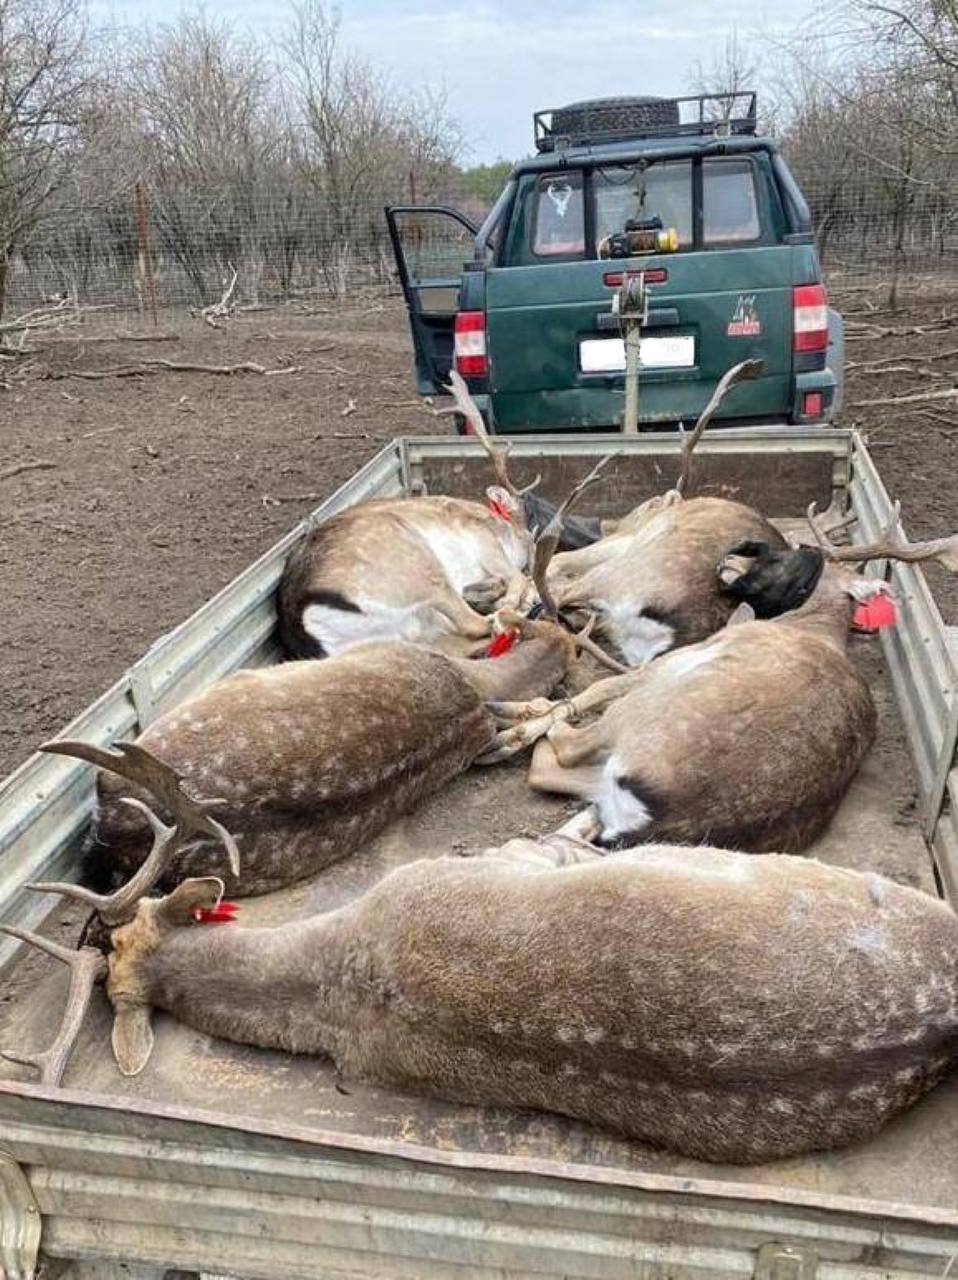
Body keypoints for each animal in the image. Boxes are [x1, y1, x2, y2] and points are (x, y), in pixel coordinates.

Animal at [486, 504, 957, 855]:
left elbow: (595, 688)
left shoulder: (683, 655)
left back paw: (509, 722)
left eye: (803, 563)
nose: (732, 557)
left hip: (643, 707)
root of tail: (656, 816)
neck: (814, 628)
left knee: (564, 747)